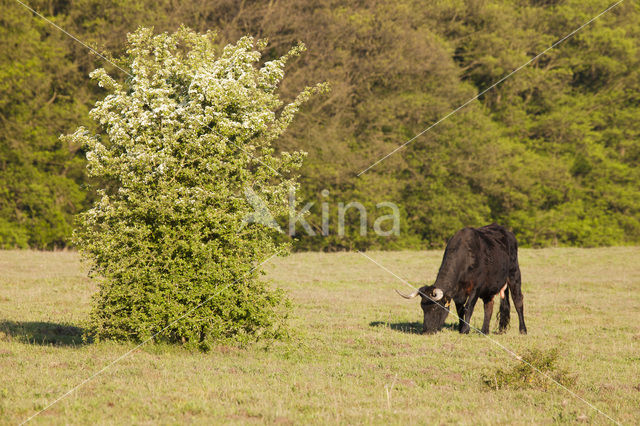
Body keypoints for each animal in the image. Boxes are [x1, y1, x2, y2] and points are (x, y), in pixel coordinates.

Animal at [398, 225, 528, 334]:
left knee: (518, 301)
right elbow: (460, 310)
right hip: (490, 288)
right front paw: (461, 327)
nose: (426, 331)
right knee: (489, 306)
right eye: (422, 308)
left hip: (514, 275)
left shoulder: (476, 287)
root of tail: (507, 232)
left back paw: (523, 330)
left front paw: (465, 329)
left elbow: (468, 307)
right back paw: (485, 331)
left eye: (435, 307)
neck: (466, 257)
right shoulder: (458, 293)